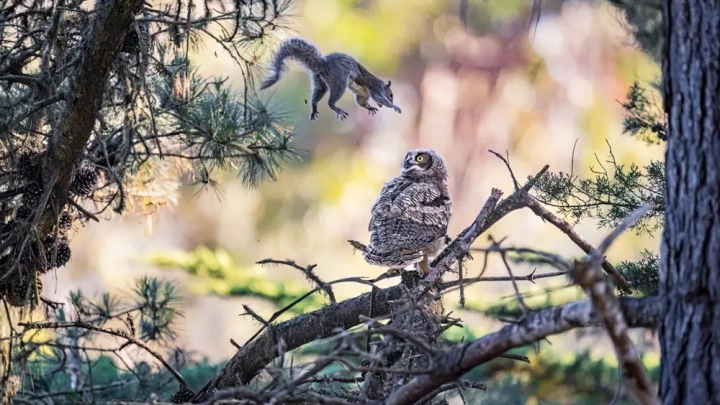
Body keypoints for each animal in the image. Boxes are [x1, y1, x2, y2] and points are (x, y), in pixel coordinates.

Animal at [258, 37, 402, 121]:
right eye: (391, 95)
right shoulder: (375, 88)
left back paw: (314, 108)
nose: (392, 100)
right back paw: (336, 108)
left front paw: (370, 108)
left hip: (319, 82)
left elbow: (361, 102)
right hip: (339, 83)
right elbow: (379, 98)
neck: (380, 84)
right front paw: (395, 107)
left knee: (316, 95)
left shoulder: (363, 95)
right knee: (330, 102)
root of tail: (322, 65)